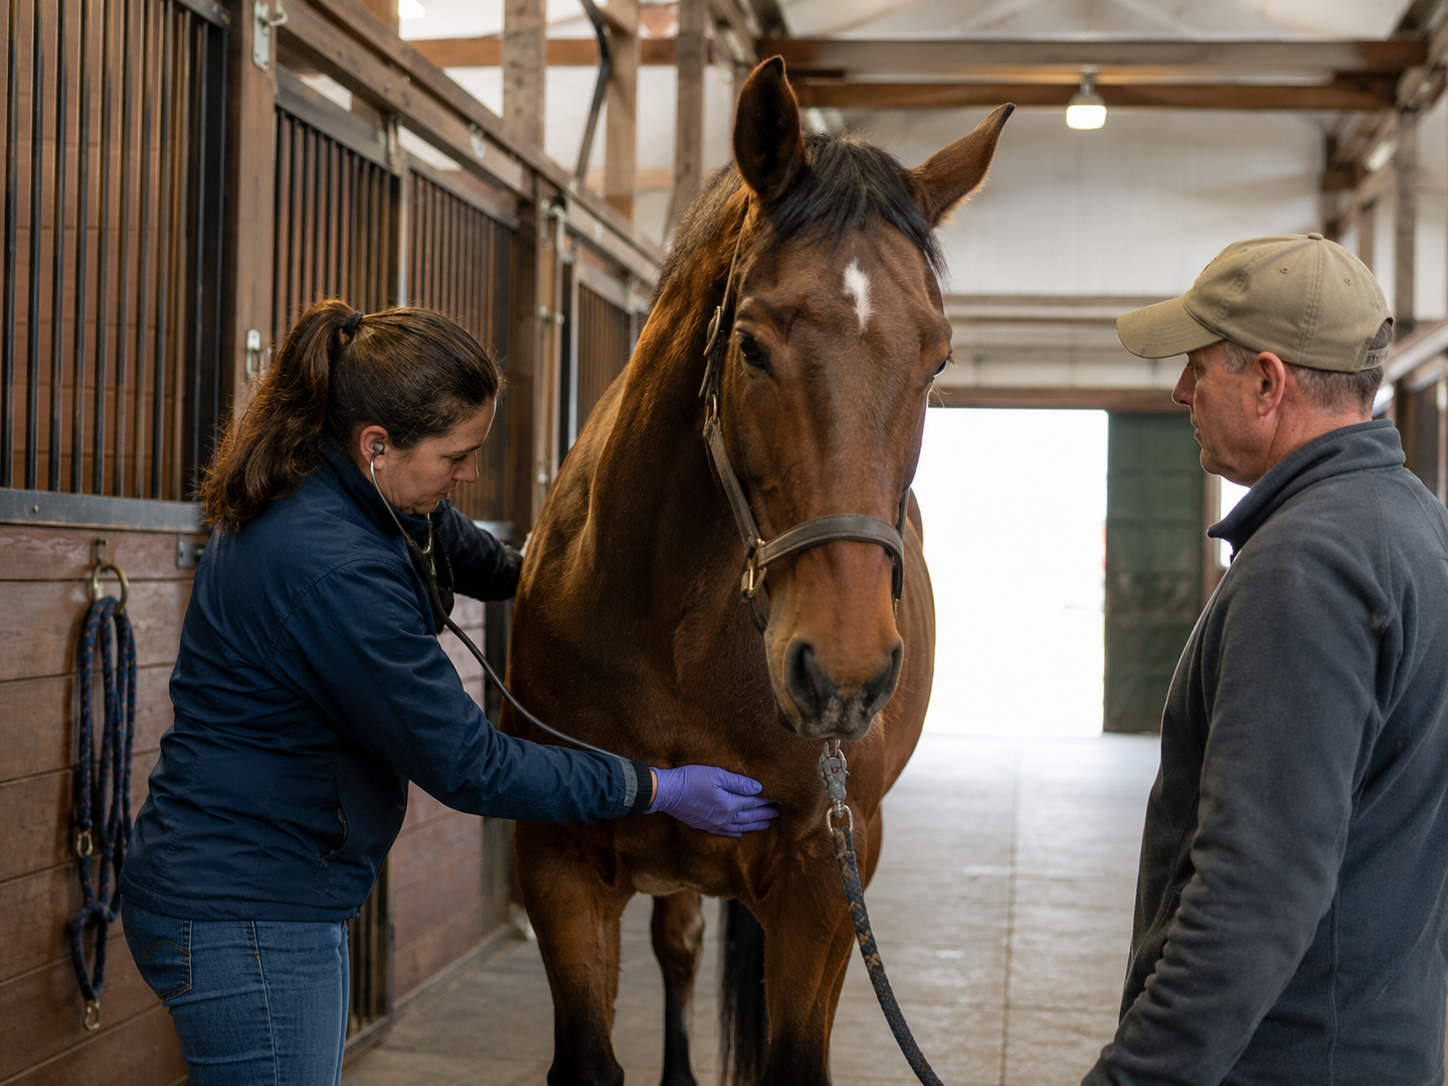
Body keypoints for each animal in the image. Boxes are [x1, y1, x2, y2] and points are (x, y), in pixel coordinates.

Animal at [503, 58, 1011, 1086]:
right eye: (750, 344)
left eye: (937, 362)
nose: (844, 672)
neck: (680, 631)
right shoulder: (558, 861)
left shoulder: (823, 874)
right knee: (681, 944)